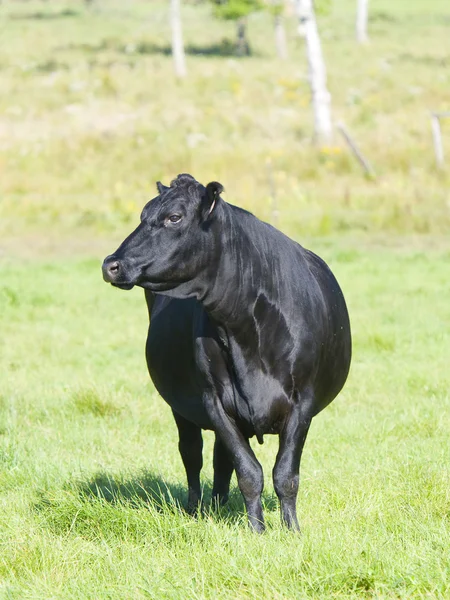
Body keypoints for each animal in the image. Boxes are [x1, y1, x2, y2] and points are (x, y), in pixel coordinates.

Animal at [103, 175, 352, 536]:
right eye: (142, 214)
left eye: (174, 217)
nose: (111, 264)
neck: (245, 332)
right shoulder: (214, 400)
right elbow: (249, 472)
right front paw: (258, 532)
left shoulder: (303, 402)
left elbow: (285, 475)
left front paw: (292, 531)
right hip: (181, 404)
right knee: (193, 454)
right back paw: (196, 509)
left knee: (220, 460)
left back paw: (219, 506)